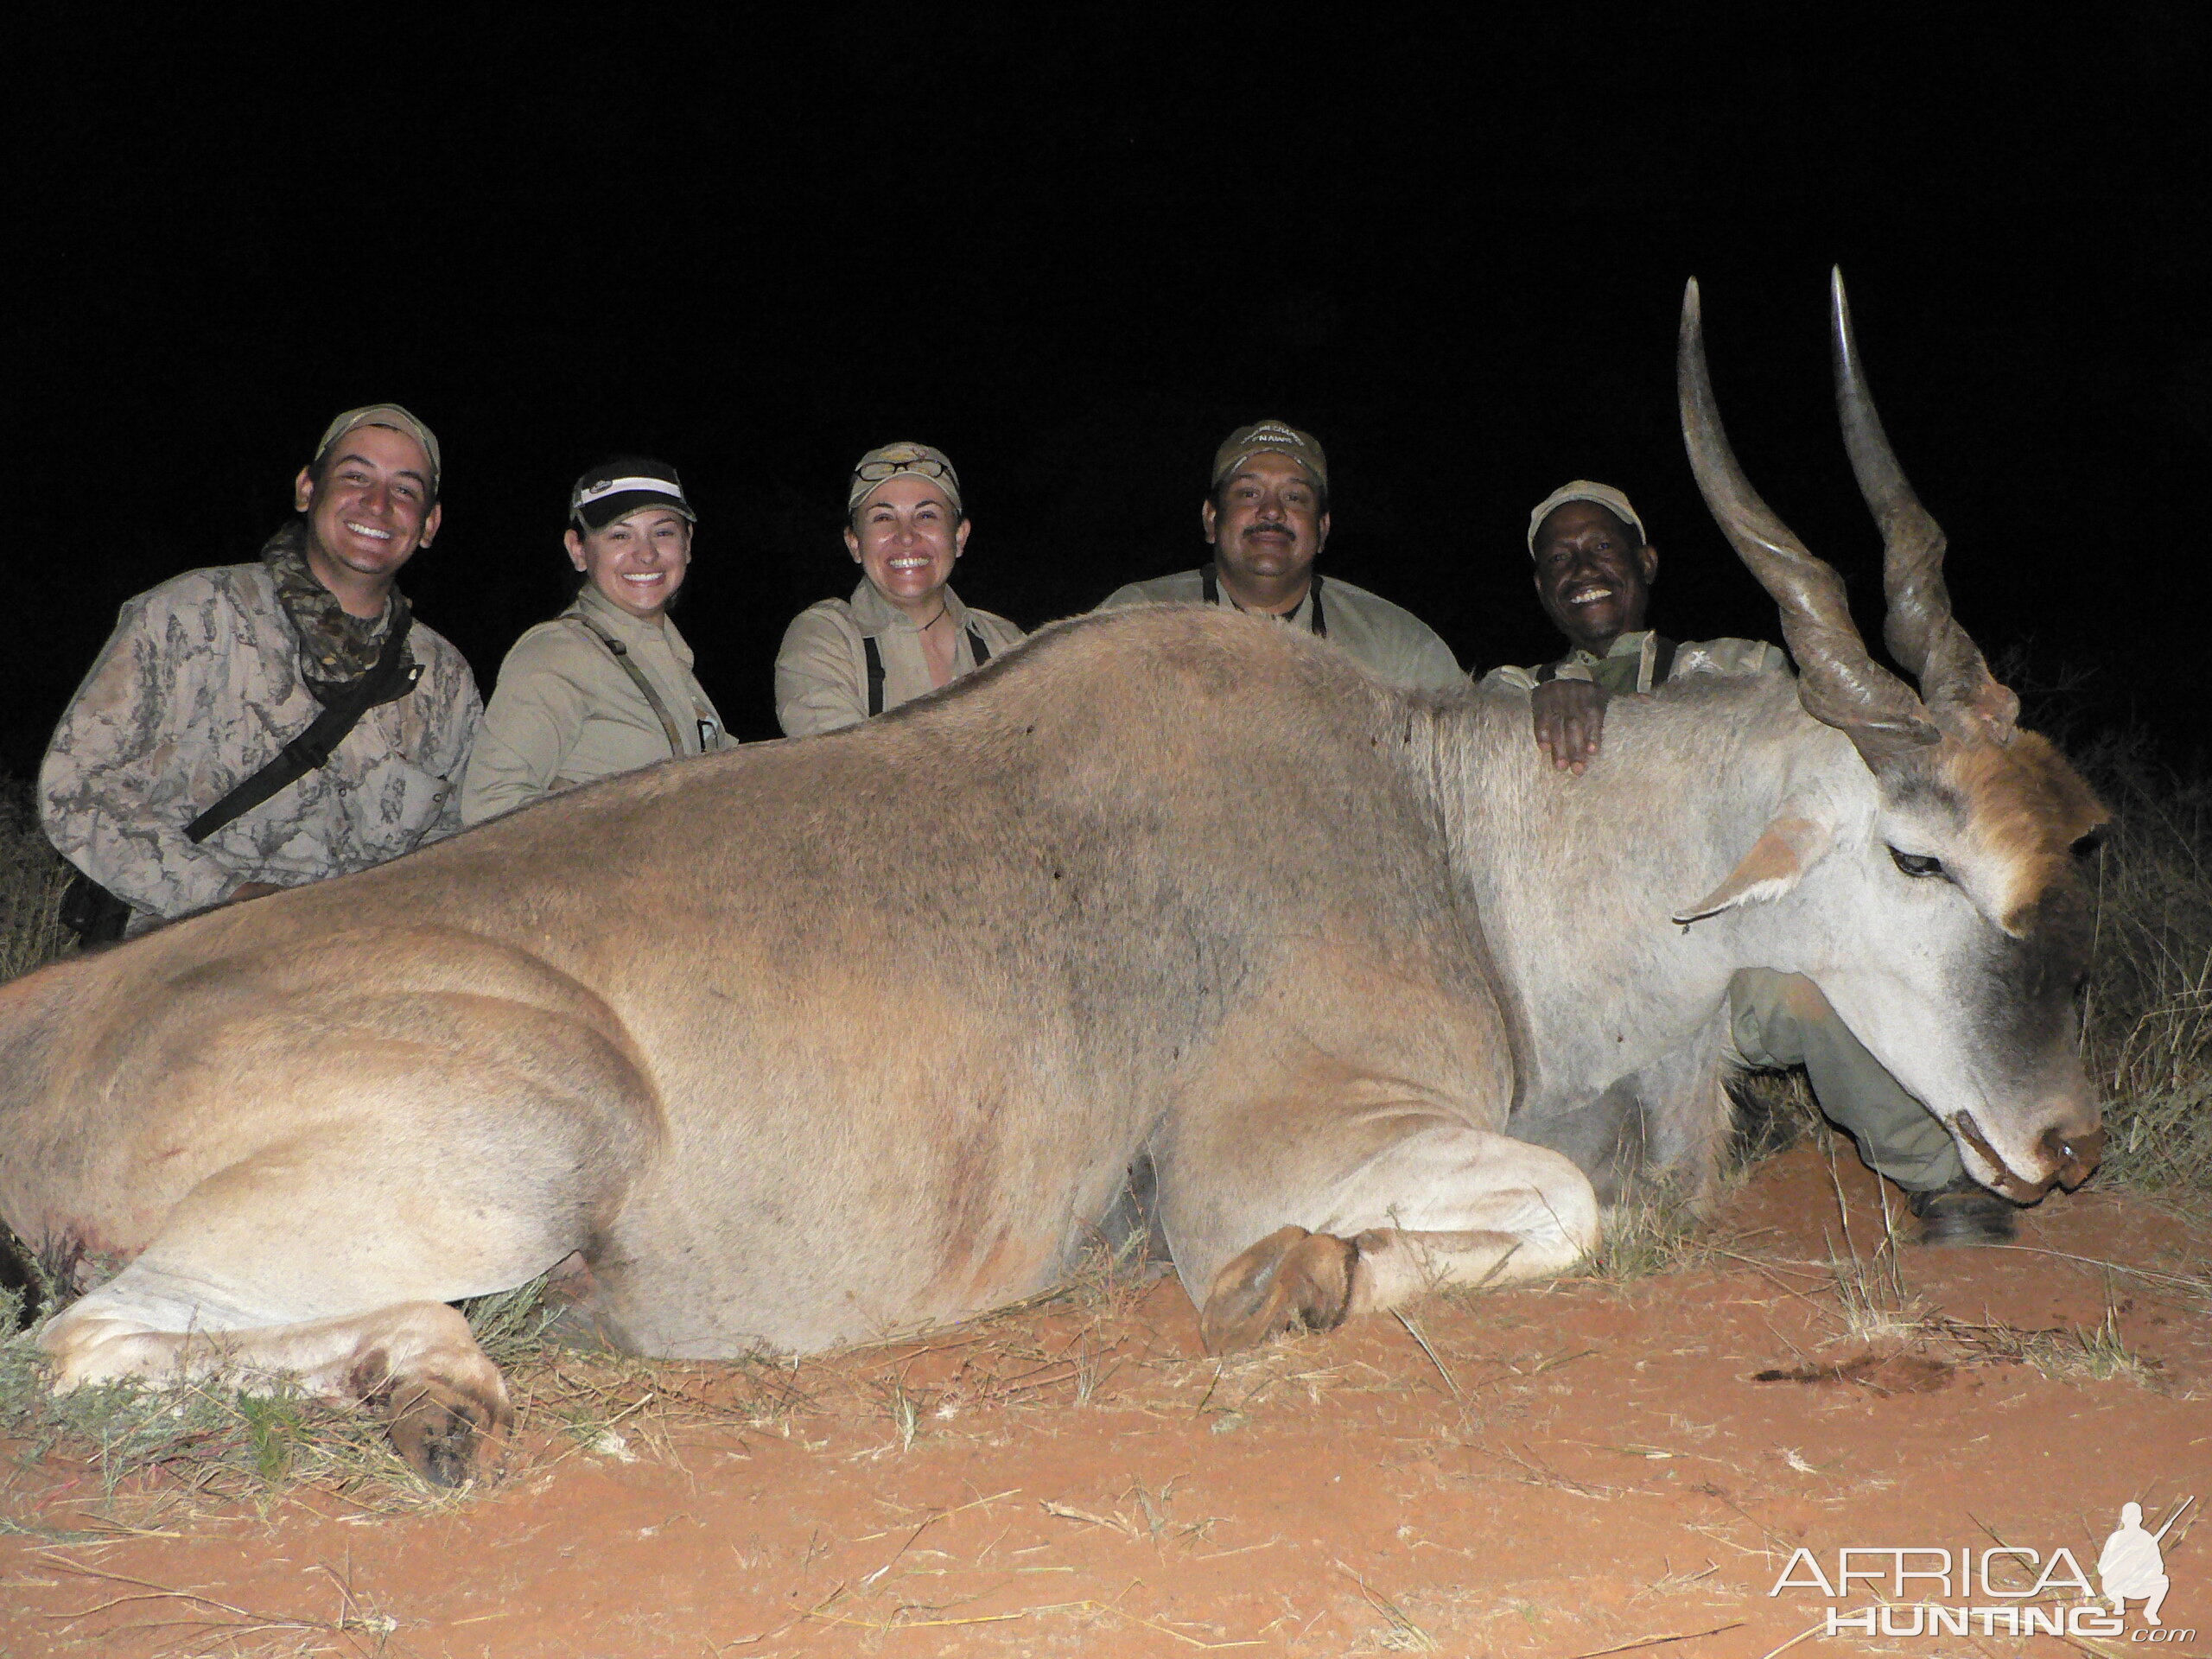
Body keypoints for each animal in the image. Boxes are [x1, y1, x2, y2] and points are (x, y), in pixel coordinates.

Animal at [0, 279, 2106, 1486]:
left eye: (2070, 845)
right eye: (1912, 850)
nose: (2066, 1144)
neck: (1462, 829)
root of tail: (49, 1023)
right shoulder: (1264, 1153)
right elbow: (1550, 1209)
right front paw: (1301, 1288)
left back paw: (433, 1384)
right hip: (533, 1140)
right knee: (81, 1347)